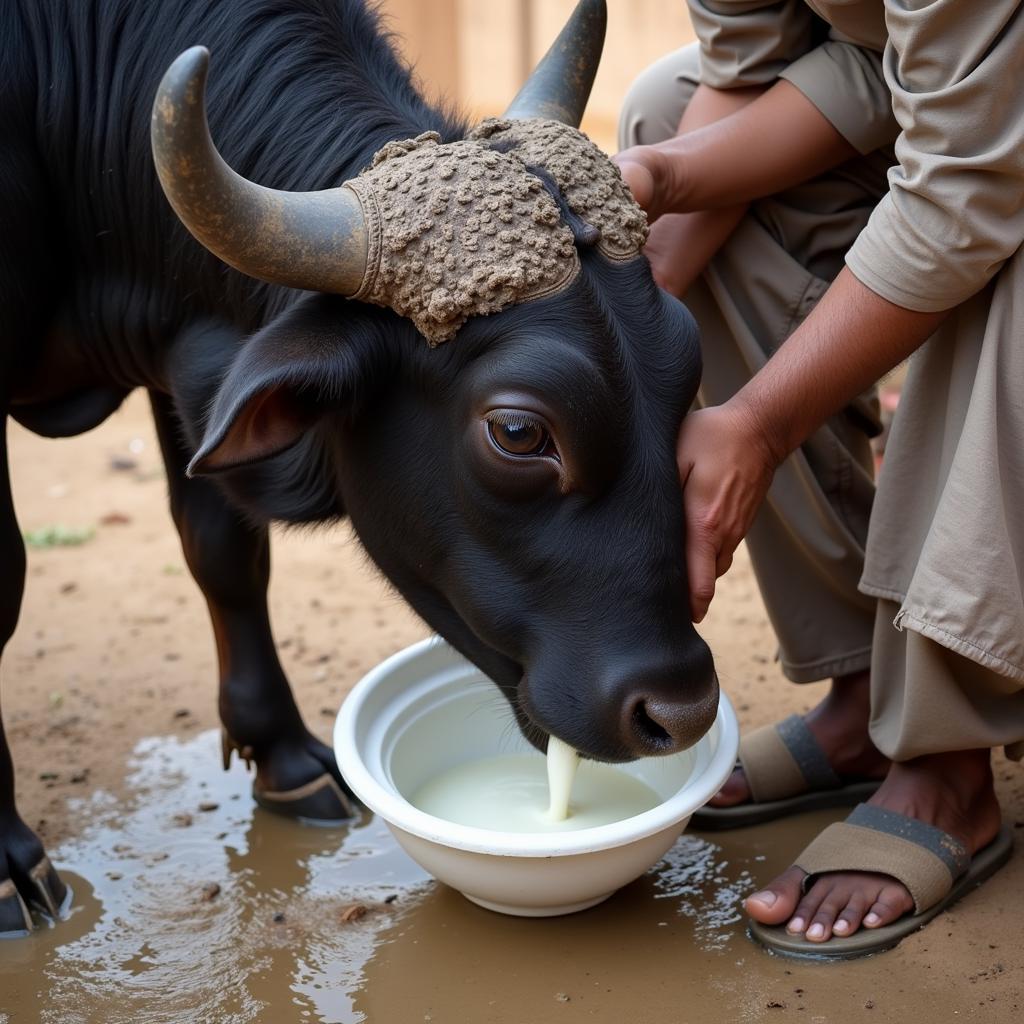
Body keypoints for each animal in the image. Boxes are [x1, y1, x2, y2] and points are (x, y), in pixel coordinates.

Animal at [2, 0, 720, 937]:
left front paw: (283, 757)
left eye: (690, 366)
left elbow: (223, 549)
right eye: (519, 432)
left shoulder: (182, 346)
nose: (680, 708)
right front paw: (9, 862)